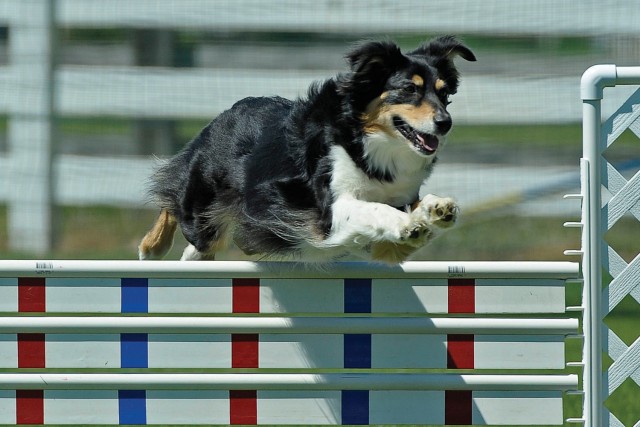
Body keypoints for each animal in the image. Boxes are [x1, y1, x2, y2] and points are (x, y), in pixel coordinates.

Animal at [139, 36, 476, 264]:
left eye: (444, 94)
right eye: (409, 89)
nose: (445, 123)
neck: (371, 146)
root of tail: (228, 112)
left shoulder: (382, 245)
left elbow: (410, 215)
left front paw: (436, 209)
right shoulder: (331, 211)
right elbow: (374, 209)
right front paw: (406, 222)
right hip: (202, 204)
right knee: (174, 200)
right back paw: (152, 247)